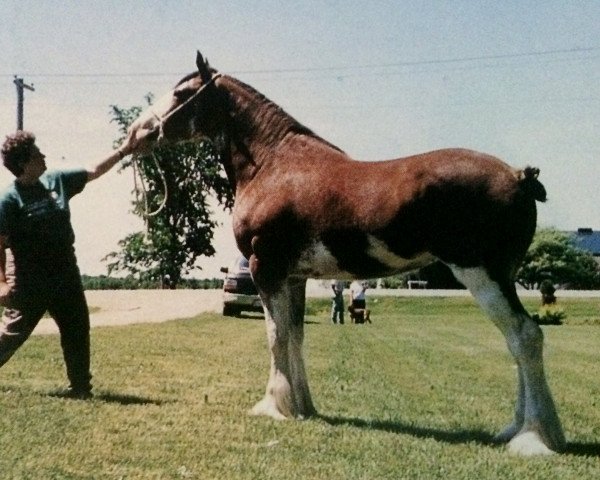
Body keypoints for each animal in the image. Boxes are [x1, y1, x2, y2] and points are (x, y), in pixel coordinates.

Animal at [125, 50, 564, 456]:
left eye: (181, 93)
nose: (136, 132)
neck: (273, 163)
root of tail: (518, 177)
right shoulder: (294, 276)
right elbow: (295, 335)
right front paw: (303, 407)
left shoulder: (266, 268)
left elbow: (274, 335)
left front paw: (273, 407)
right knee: (516, 339)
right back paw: (515, 430)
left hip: (481, 273)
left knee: (525, 335)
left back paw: (533, 438)